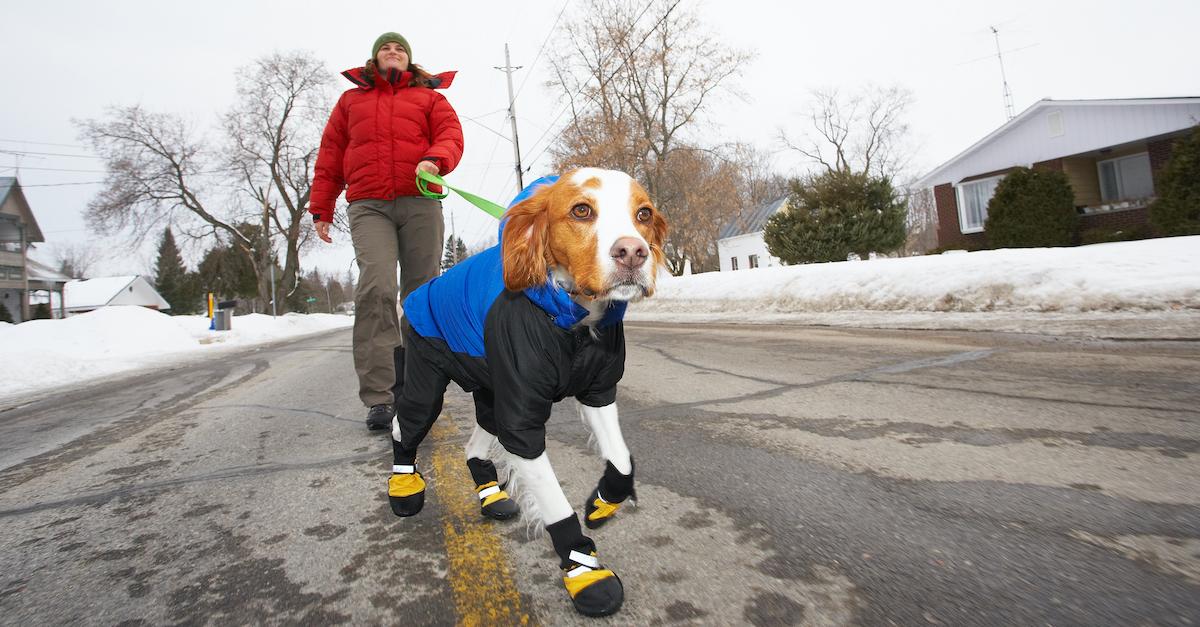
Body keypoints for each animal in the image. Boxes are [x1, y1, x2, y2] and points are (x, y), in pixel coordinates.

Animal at [384, 166, 667, 614]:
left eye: (643, 213)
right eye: (581, 210)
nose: (633, 253)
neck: (573, 321)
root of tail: (416, 293)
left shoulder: (598, 391)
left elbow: (622, 461)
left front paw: (603, 501)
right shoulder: (522, 422)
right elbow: (555, 505)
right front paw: (585, 572)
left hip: (490, 393)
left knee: (474, 446)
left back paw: (491, 495)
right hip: (426, 384)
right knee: (403, 425)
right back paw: (404, 489)